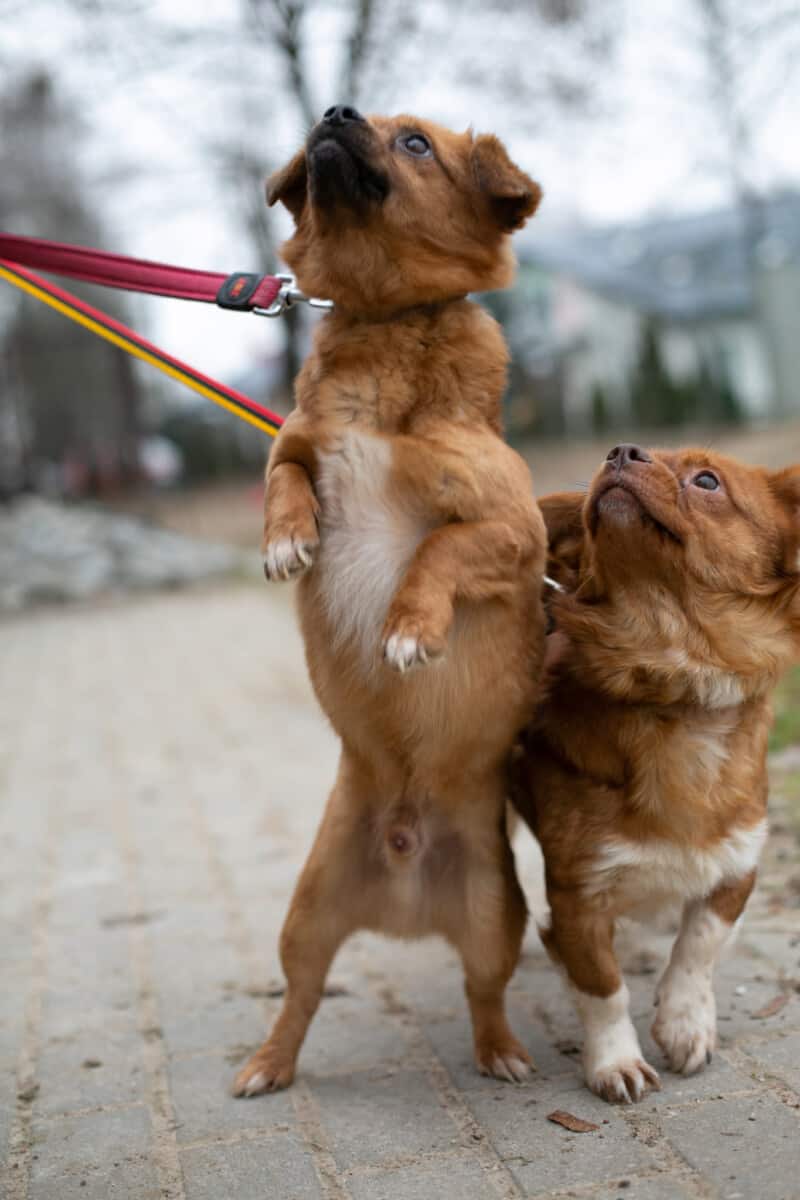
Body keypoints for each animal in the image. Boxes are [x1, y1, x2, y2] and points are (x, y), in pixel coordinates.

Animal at [232, 106, 547, 1097]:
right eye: (344, 118)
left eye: (416, 143)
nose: (333, 111)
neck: (382, 319)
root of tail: (407, 897)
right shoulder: (293, 445)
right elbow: (285, 477)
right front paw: (287, 542)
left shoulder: (511, 531)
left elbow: (437, 549)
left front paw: (410, 628)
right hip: (307, 912)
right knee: (299, 996)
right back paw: (266, 1064)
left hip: (494, 917)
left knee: (486, 996)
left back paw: (504, 1054)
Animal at [512, 443, 800, 1103]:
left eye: (707, 481)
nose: (620, 450)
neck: (674, 672)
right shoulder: (578, 892)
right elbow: (602, 987)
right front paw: (615, 1061)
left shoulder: (739, 860)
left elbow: (701, 943)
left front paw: (684, 1021)